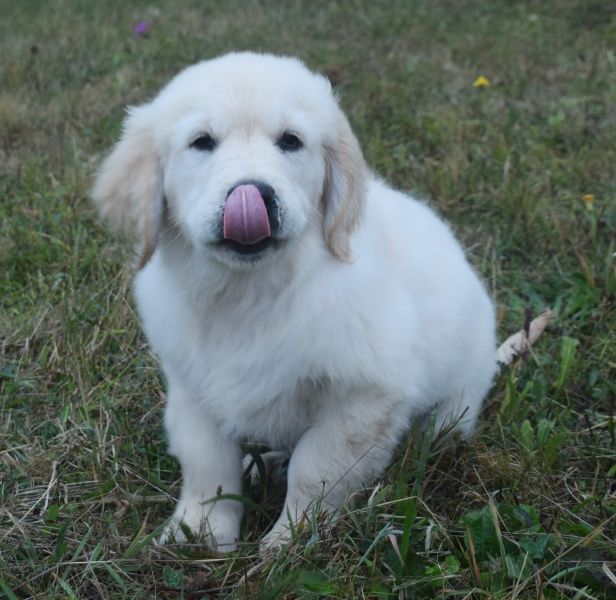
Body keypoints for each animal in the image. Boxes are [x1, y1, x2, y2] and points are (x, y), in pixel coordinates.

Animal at [91, 52, 497, 553]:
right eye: (201, 142)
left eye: (291, 141)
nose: (254, 196)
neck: (249, 293)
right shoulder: (192, 386)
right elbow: (207, 462)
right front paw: (200, 532)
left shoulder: (366, 396)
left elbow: (316, 467)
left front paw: (292, 542)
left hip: (457, 401)